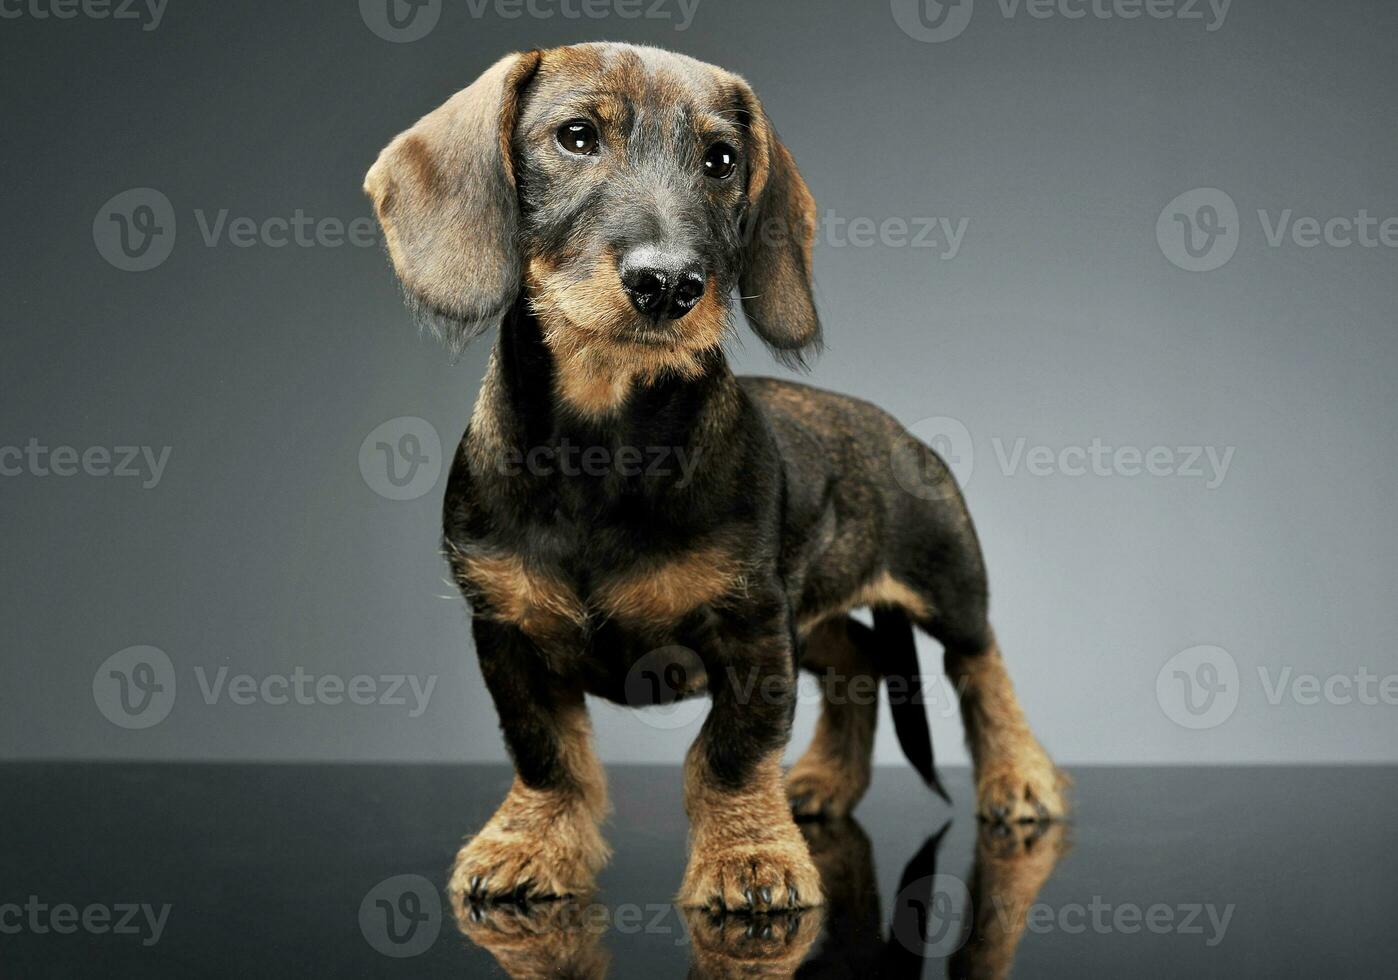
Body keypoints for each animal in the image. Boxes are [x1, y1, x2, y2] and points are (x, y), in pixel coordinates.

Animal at [366, 38, 1062, 911]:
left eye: (721, 160)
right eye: (576, 136)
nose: (669, 284)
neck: (602, 441)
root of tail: (896, 429)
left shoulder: (753, 627)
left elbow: (730, 755)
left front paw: (750, 860)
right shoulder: (506, 630)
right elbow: (546, 753)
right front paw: (528, 844)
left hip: (946, 582)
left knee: (981, 665)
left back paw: (1020, 777)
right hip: (815, 615)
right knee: (859, 660)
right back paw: (825, 780)